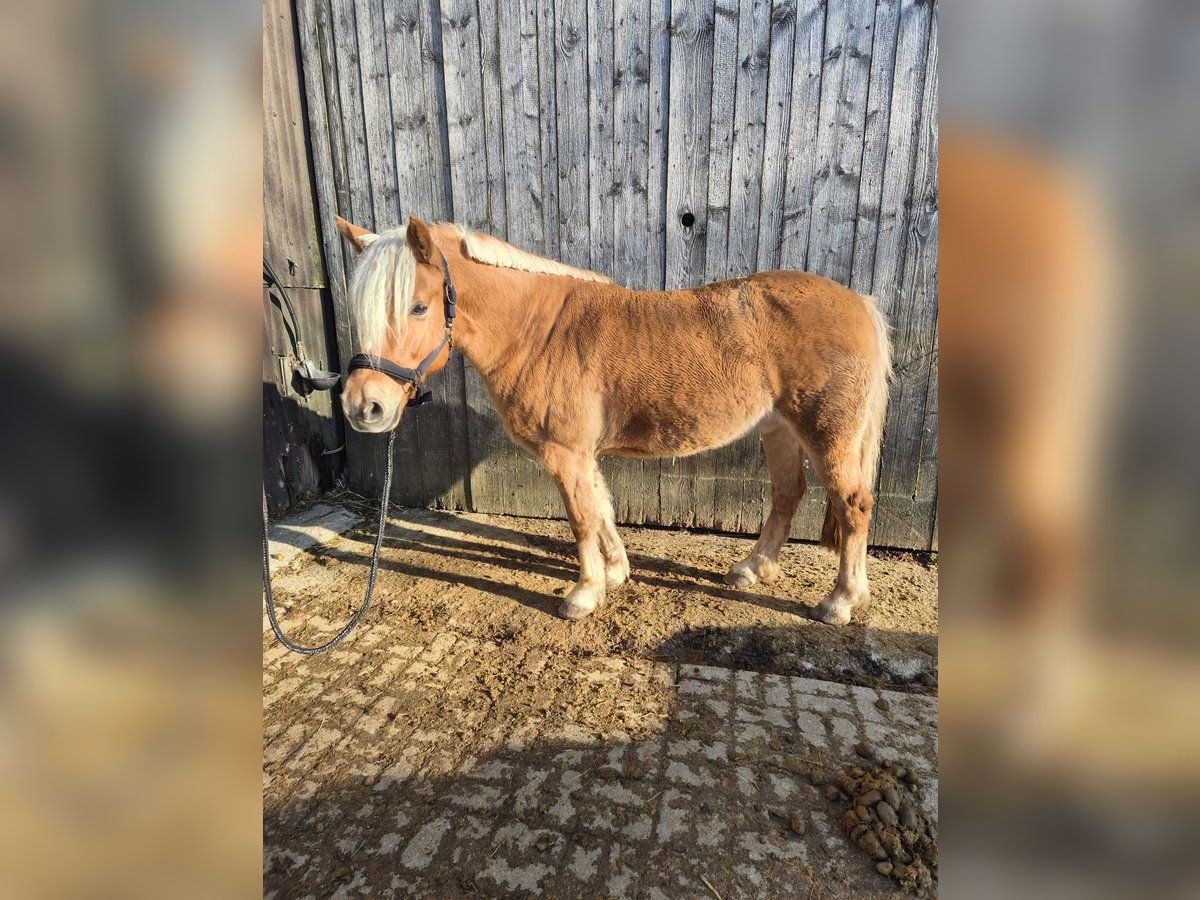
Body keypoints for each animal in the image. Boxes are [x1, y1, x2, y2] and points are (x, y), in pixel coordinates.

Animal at [333, 217, 888, 628]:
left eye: (417, 306)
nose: (364, 407)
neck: (538, 331)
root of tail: (859, 303)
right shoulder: (581, 454)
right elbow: (601, 508)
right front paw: (617, 573)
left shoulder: (565, 452)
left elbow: (582, 517)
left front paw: (584, 593)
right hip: (779, 431)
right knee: (787, 494)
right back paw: (753, 568)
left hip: (828, 435)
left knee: (853, 505)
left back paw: (841, 601)